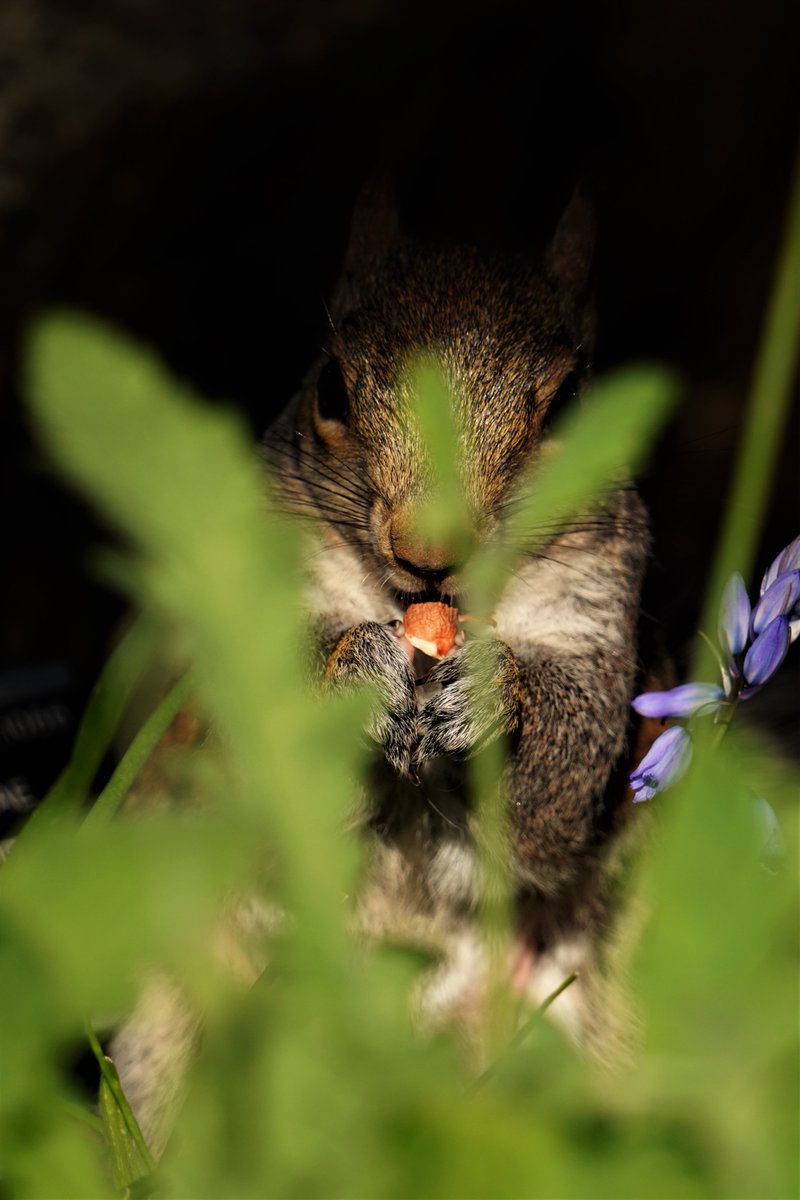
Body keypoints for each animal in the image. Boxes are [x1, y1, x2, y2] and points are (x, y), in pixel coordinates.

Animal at [263, 180, 654, 1040]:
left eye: (568, 406)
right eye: (330, 387)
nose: (428, 551)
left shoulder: (597, 608)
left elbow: (564, 776)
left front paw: (493, 695)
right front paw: (355, 668)